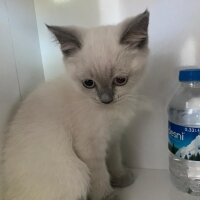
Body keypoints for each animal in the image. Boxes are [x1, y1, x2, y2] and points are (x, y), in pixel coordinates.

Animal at [2, 10, 149, 200]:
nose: (106, 99)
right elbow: (100, 176)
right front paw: (108, 196)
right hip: (75, 172)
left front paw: (121, 178)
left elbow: (115, 160)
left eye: (120, 80)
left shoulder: (113, 137)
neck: (111, 111)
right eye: (89, 83)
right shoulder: (90, 147)